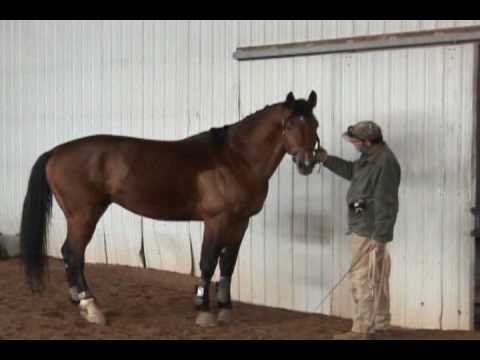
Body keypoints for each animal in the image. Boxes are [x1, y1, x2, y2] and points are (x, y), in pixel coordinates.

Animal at [19, 90, 318, 326]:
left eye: (314, 124)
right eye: (290, 124)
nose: (307, 163)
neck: (235, 158)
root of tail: (55, 152)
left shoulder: (240, 222)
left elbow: (227, 265)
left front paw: (225, 309)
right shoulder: (216, 221)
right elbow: (207, 262)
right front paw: (204, 312)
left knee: (72, 256)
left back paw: (79, 301)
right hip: (83, 215)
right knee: (73, 253)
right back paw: (91, 308)